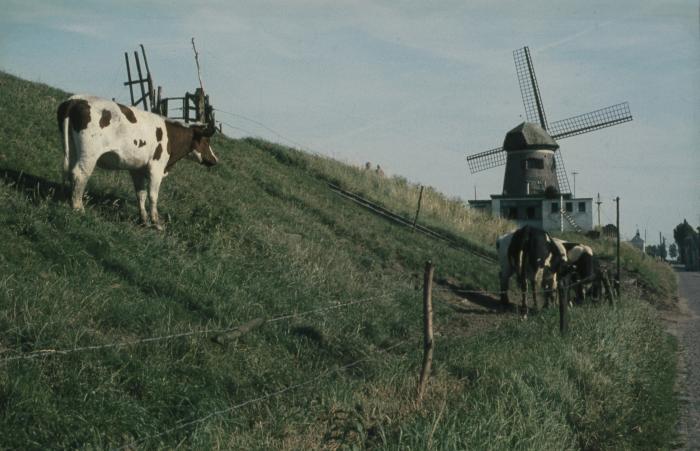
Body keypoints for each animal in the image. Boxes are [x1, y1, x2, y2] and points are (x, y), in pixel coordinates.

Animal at [56, 95, 217, 230]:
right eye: (206, 141)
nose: (215, 159)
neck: (170, 136)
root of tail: (76, 99)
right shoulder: (156, 168)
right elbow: (153, 195)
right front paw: (156, 223)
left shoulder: (137, 169)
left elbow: (141, 194)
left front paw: (143, 220)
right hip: (90, 154)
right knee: (80, 174)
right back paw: (78, 208)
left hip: (72, 149)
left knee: (70, 172)